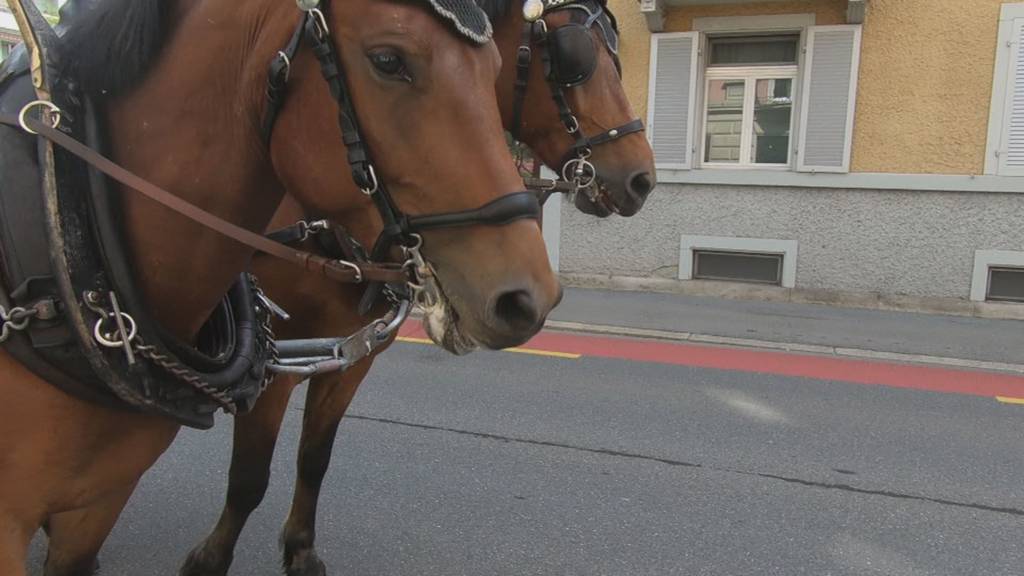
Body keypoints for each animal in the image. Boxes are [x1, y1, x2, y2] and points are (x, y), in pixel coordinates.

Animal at [179, 1, 651, 573]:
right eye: (574, 59)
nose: (642, 178)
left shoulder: (351, 353)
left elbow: (315, 457)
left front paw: (301, 548)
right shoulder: (276, 360)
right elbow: (249, 476)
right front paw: (209, 558)